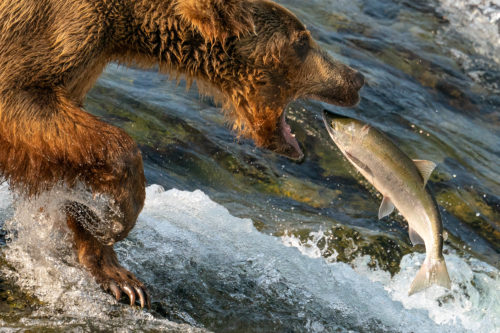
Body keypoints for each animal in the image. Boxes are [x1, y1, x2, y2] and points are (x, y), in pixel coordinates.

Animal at [0, 0, 362, 306]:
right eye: (301, 41)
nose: (356, 78)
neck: (125, 27)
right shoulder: (47, 31)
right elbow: (25, 100)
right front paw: (117, 219)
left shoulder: (81, 68)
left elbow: (66, 158)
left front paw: (118, 272)